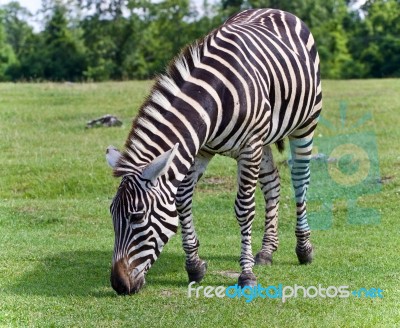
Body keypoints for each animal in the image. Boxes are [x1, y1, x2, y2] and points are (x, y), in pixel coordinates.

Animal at [106, 7, 322, 294]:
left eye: (137, 217)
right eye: (112, 214)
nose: (118, 284)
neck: (213, 98)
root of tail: (275, 10)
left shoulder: (249, 146)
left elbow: (244, 208)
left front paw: (246, 274)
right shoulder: (199, 149)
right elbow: (182, 200)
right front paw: (195, 265)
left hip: (305, 123)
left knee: (300, 181)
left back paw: (304, 248)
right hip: (264, 138)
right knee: (272, 183)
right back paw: (266, 251)